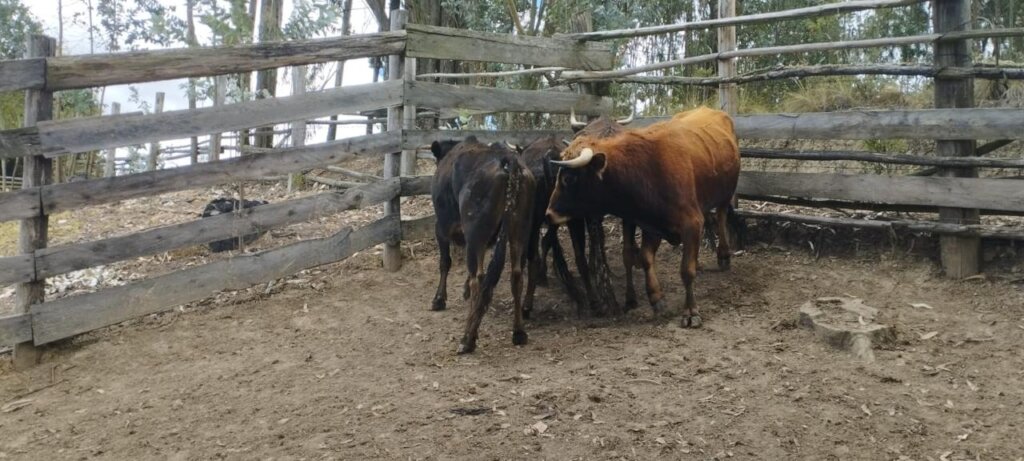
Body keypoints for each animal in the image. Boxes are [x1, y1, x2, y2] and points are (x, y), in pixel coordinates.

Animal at [429, 137, 538, 354]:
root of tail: (509, 161)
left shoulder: (442, 227)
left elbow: (445, 262)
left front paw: (439, 299)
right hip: (519, 232)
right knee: (516, 276)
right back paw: (518, 332)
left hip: (475, 234)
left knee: (478, 278)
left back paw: (467, 338)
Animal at [547, 107, 741, 328]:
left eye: (568, 178)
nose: (549, 213)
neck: (645, 170)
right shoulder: (652, 226)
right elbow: (646, 258)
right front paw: (656, 299)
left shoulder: (691, 222)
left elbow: (686, 270)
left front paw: (691, 312)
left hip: (726, 194)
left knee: (722, 216)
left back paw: (724, 255)